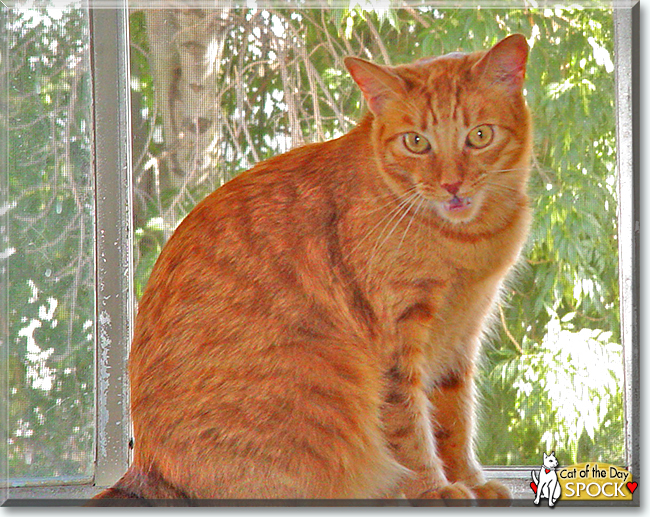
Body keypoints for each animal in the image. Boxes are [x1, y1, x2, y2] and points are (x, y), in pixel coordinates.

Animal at [96, 34, 532, 502]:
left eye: (479, 135)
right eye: (416, 142)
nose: (451, 184)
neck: (466, 242)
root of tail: (145, 468)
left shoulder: (458, 341)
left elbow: (453, 423)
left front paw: (470, 482)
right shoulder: (396, 344)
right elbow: (412, 431)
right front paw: (435, 490)